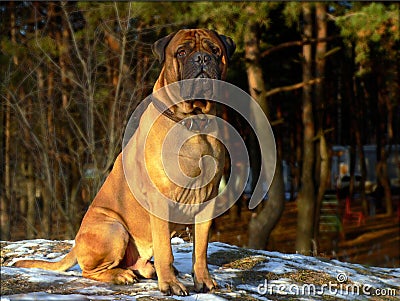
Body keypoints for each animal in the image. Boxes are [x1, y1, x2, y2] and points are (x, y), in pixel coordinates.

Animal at [14, 28, 236, 296]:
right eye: (182, 52)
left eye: (214, 50)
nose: (202, 58)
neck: (194, 120)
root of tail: (76, 245)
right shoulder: (160, 201)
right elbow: (166, 251)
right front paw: (170, 284)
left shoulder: (207, 200)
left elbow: (201, 250)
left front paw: (204, 280)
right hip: (114, 228)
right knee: (90, 271)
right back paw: (122, 275)